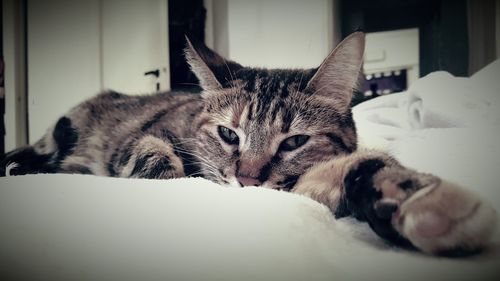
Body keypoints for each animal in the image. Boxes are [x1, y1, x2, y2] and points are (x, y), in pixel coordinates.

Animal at [0, 31, 496, 255]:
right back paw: (22, 165)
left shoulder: (309, 185)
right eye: (227, 133)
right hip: (65, 127)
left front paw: (417, 200)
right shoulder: (144, 136)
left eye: (295, 141)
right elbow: (153, 156)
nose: (248, 180)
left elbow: (367, 167)